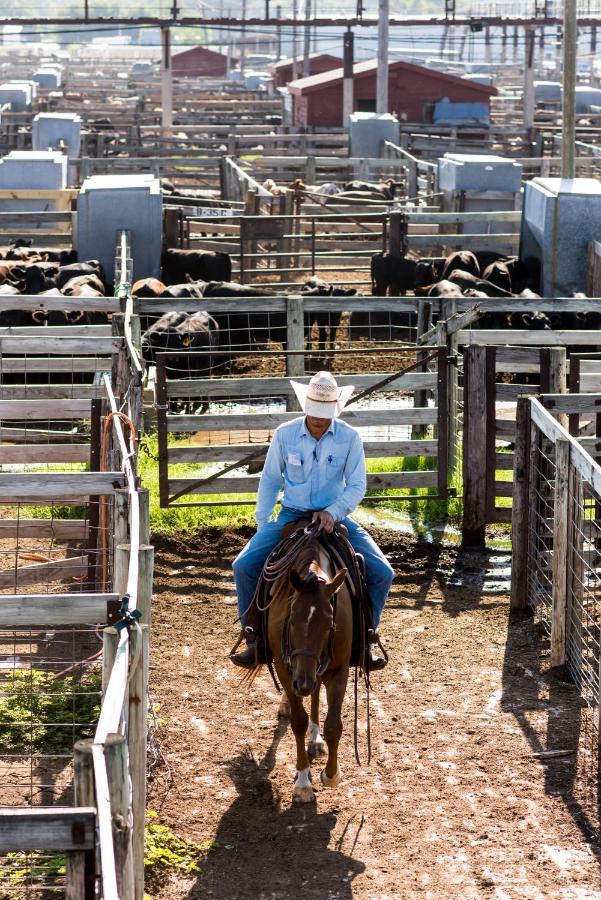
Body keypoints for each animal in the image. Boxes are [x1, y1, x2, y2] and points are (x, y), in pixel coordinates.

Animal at [268, 528, 352, 800]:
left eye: (329, 624)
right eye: (292, 617)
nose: (302, 682)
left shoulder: (339, 669)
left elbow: (334, 725)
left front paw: (332, 774)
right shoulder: (285, 669)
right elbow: (298, 721)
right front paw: (303, 782)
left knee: (315, 693)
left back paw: (315, 739)